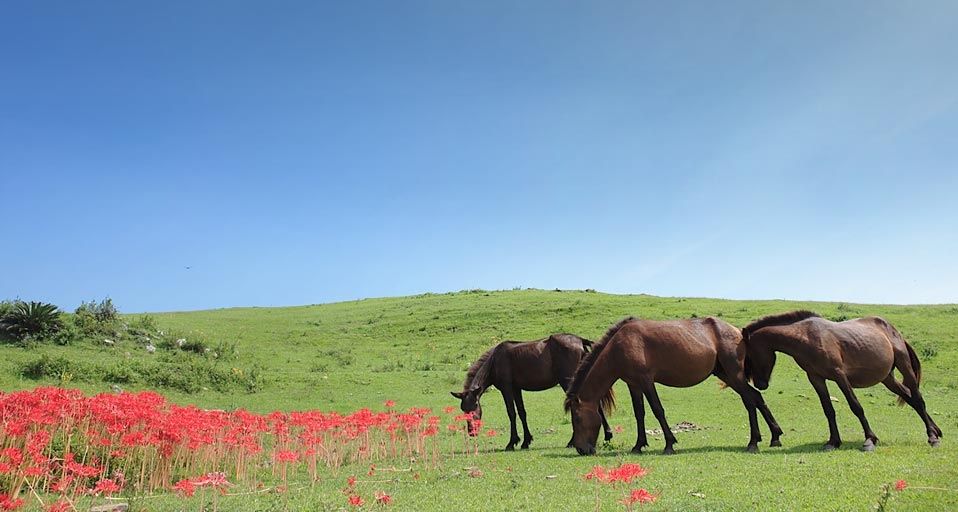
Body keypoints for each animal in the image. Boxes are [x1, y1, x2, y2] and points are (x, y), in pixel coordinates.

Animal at [451, 334, 614, 451]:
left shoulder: (507, 388)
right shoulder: (516, 389)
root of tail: (580, 340)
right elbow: (522, 412)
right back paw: (607, 434)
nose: (472, 432)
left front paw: (512, 442)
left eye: (475, 405)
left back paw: (574, 441)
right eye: (463, 409)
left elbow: (511, 413)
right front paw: (526, 441)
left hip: (568, 381)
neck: (495, 361)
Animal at [564, 316, 783, 455]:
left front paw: (669, 444)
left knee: (750, 401)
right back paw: (774, 436)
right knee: (756, 397)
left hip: (734, 374)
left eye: (577, 418)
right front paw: (638, 445)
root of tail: (737, 331)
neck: (621, 344)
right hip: (726, 374)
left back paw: (754, 442)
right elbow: (639, 413)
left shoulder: (646, 381)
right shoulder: (634, 384)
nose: (581, 449)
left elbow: (657, 410)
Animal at [742, 310, 942, 451]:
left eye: (749, 356)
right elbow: (828, 410)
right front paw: (833, 441)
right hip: (887, 379)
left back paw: (932, 437)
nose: (760, 385)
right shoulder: (816, 378)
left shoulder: (839, 375)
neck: (807, 336)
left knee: (918, 399)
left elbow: (856, 406)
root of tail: (893, 331)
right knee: (910, 397)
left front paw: (870, 440)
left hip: (904, 366)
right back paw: (936, 431)